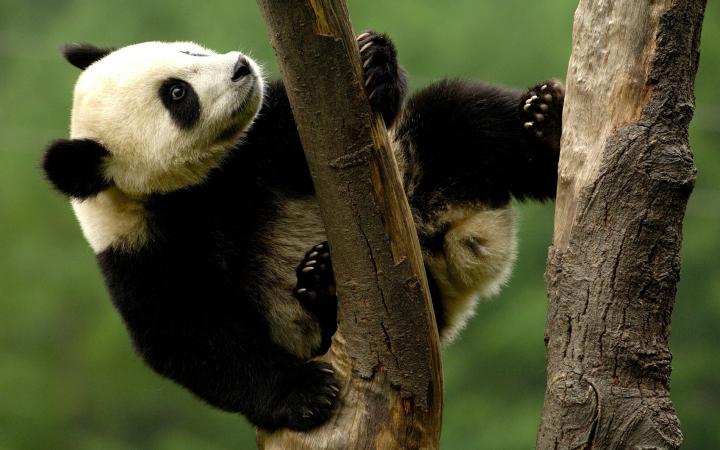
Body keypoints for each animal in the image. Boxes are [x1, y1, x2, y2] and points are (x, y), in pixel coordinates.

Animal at [42, 33, 564, 430]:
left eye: (188, 52)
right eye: (177, 95)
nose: (241, 68)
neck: (201, 185)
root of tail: (454, 240)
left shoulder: (263, 138)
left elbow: (314, 130)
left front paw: (374, 63)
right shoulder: (143, 251)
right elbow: (187, 335)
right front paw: (305, 394)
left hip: (414, 161)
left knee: (463, 118)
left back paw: (549, 127)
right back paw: (323, 282)